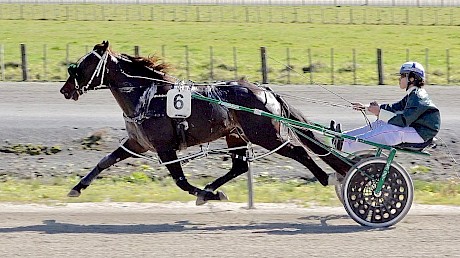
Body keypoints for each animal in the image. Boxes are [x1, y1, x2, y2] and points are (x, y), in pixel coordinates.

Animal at [59, 40, 350, 206]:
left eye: (82, 65)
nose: (65, 89)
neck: (147, 95)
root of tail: (265, 91)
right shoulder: (137, 143)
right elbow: (105, 161)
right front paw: (77, 188)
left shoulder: (165, 147)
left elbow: (180, 181)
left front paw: (207, 195)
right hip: (236, 135)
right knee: (239, 167)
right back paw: (211, 188)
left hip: (265, 134)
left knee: (299, 150)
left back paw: (324, 176)